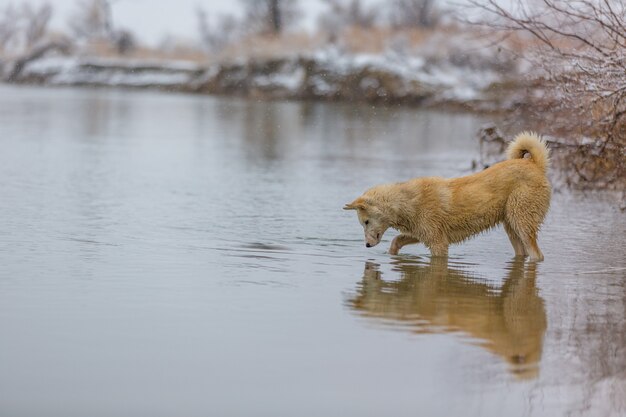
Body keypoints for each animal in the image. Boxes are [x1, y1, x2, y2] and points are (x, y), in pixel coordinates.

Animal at [342, 132, 552, 260]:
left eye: (366, 221)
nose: (367, 245)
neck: (406, 202)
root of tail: (535, 164)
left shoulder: (439, 243)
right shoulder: (422, 234)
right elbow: (396, 240)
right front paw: (392, 255)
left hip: (522, 222)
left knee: (538, 255)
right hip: (511, 226)